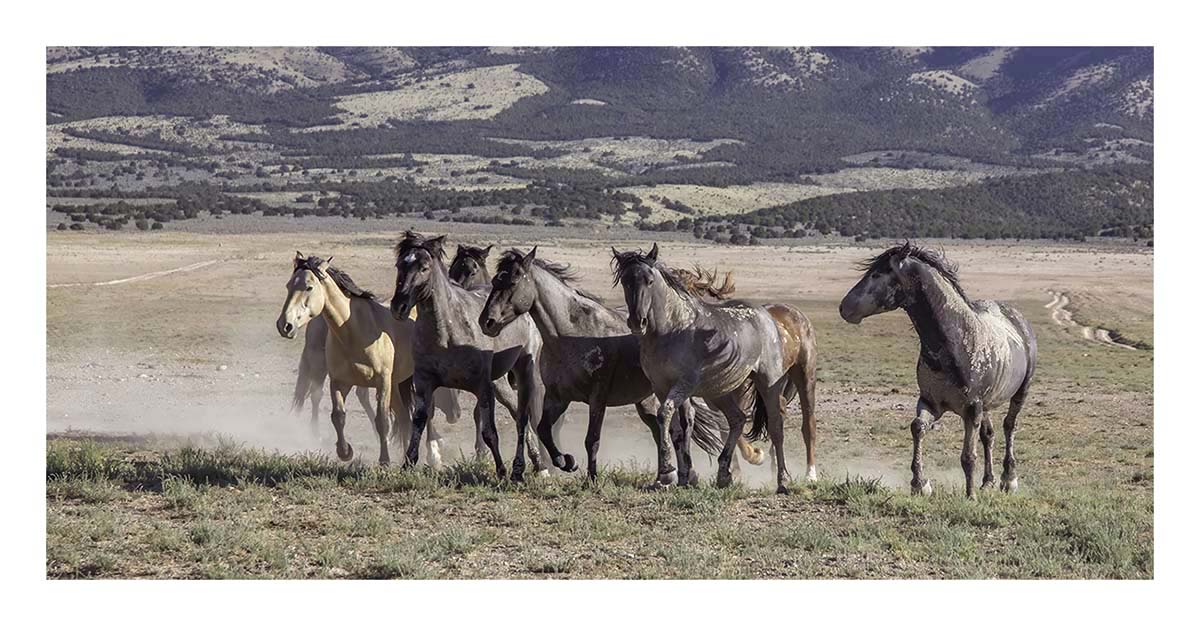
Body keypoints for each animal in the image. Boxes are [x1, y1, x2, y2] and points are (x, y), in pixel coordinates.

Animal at [277, 253, 443, 467]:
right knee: (404, 417)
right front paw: (345, 452)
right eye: (289, 285)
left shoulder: (382, 382)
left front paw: (384, 461)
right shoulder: (340, 382)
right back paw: (407, 456)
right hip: (396, 384)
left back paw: (433, 456)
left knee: (426, 412)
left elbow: (382, 421)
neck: (353, 331)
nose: (285, 325)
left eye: (309, 287)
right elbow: (338, 416)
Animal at [390, 231, 548, 481]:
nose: (399, 306)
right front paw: (408, 464)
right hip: (500, 383)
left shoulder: (482, 387)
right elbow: (419, 421)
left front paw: (501, 471)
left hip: (524, 371)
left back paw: (540, 466)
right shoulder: (424, 382)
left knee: (525, 414)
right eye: (399, 264)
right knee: (517, 412)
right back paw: (536, 463)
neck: (447, 333)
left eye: (424, 267)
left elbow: (489, 431)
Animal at [478, 247, 766, 483]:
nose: (486, 322)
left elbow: (592, 439)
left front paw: (591, 478)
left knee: (697, 423)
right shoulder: (557, 397)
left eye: (513, 281)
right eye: (494, 281)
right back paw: (673, 475)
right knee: (665, 429)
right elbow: (543, 430)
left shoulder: (598, 397)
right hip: (648, 400)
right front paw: (566, 462)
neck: (570, 334)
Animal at [612, 244, 818, 494]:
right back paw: (724, 474)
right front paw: (683, 475)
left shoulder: (683, 385)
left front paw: (667, 470)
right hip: (720, 392)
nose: (637, 322)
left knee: (778, 427)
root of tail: (767, 316)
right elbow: (677, 429)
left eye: (649, 280)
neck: (672, 330)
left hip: (773, 382)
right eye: (625, 281)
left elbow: (665, 415)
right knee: (737, 419)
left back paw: (784, 481)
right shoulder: (662, 388)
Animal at [839, 242, 1036, 498]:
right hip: (987, 405)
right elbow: (917, 428)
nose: (844, 307)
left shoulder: (972, 409)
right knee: (989, 436)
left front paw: (970, 495)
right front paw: (920, 484)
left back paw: (1008, 479)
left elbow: (968, 456)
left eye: (877, 274)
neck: (955, 341)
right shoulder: (930, 402)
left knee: (1009, 426)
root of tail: (1017, 318)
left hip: (1020, 393)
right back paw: (987, 482)